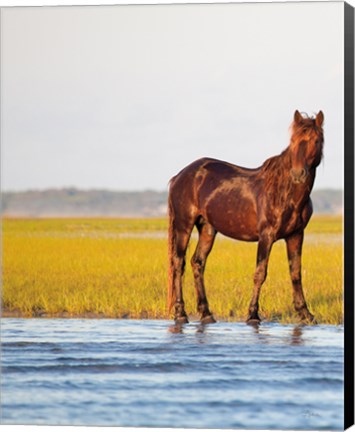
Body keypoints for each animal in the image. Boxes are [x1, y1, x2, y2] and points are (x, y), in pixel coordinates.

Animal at [167, 110, 326, 324]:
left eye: (316, 140)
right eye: (293, 140)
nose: (298, 173)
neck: (285, 192)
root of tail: (180, 175)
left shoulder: (296, 235)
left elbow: (295, 274)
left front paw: (305, 314)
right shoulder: (266, 236)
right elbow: (260, 273)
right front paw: (252, 314)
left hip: (207, 229)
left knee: (197, 263)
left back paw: (206, 313)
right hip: (184, 226)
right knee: (178, 263)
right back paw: (180, 313)